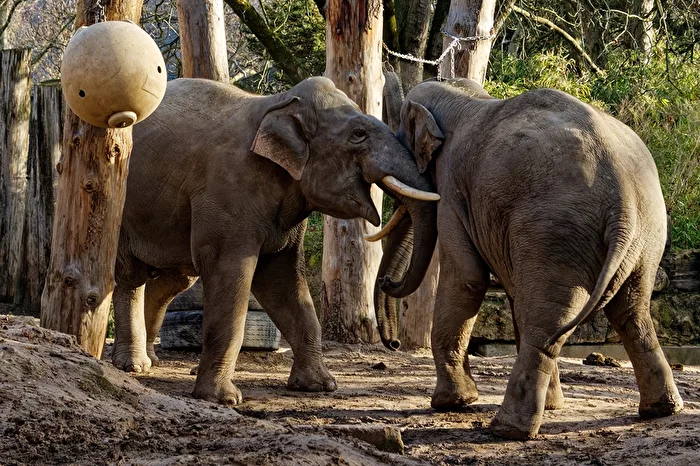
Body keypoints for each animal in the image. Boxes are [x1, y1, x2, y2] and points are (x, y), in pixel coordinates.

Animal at [112, 77, 439, 405]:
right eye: (358, 134)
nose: (395, 344)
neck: (279, 102)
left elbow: (282, 280)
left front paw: (320, 386)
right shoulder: (228, 191)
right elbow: (230, 273)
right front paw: (224, 398)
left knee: (174, 279)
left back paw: (148, 361)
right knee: (131, 275)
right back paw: (132, 365)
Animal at [371, 78, 683, 439]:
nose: (393, 343)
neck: (462, 95)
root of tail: (622, 199)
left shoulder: (451, 190)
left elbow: (467, 278)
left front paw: (452, 403)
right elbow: (511, 290)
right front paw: (550, 406)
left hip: (554, 229)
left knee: (547, 319)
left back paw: (506, 430)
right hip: (644, 236)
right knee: (630, 310)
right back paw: (660, 410)